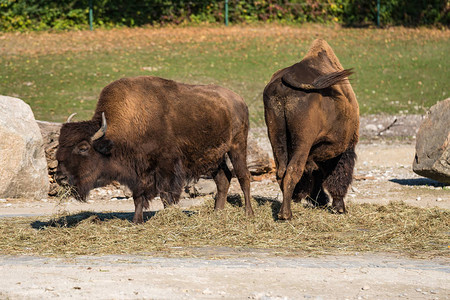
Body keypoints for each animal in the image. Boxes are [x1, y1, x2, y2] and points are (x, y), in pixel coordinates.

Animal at [55, 76, 253, 224]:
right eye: (59, 144)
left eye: (83, 147)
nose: (60, 178)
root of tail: (239, 100)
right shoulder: (138, 173)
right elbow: (138, 197)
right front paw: (137, 221)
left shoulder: (166, 167)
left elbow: (165, 194)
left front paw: (168, 216)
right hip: (214, 157)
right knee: (223, 179)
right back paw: (217, 212)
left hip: (237, 146)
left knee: (243, 177)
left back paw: (248, 213)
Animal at [262, 38, 360, 219]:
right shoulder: (345, 148)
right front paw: (339, 207)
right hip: (303, 141)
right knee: (293, 169)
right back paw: (286, 214)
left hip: (275, 135)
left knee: (281, 171)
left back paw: (285, 209)